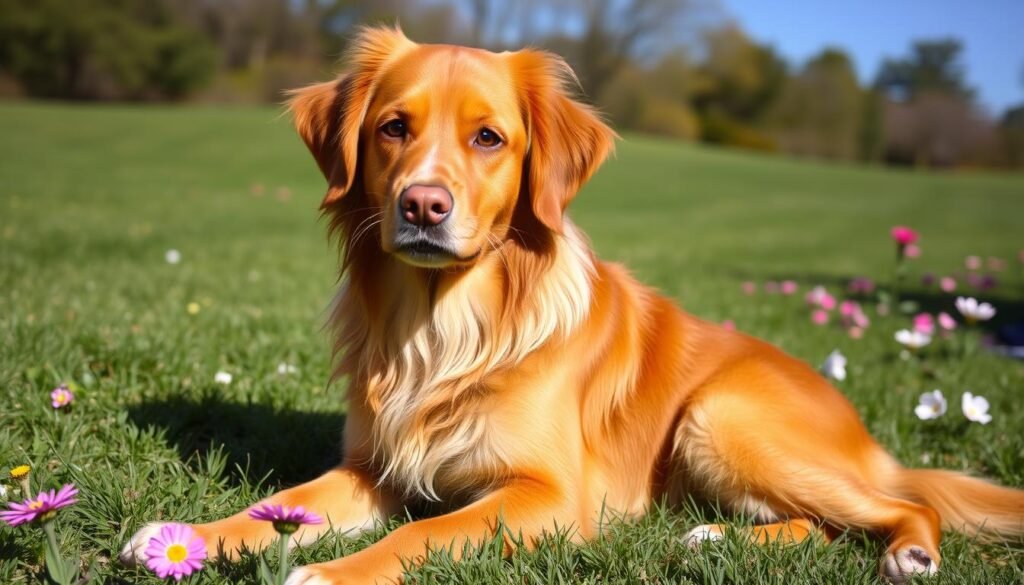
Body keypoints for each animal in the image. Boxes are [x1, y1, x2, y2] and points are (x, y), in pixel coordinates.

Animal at [121, 28, 1024, 585]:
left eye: (489, 137)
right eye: (392, 127)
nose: (422, 205)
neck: (444, 327)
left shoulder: (547, 493)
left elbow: (421, 532)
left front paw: (332, 571)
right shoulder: (375, 466)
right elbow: (279, 503)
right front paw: (190, 538)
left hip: (723, 416)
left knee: (904, 505)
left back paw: (908, 554)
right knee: (825, 522)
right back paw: (715, 536)